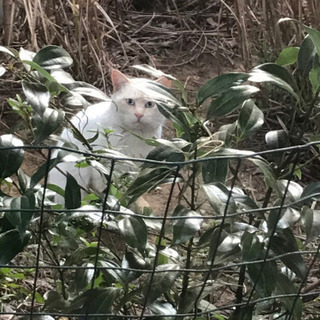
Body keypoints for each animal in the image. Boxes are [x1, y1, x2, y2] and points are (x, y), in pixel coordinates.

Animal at [47, 70, 171, 198]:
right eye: (130, 102)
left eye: (150, 104)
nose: (139, 114)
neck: (134, 136)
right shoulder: (103, 163)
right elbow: (104, 185)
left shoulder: (135, 169)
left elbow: (126, 191)